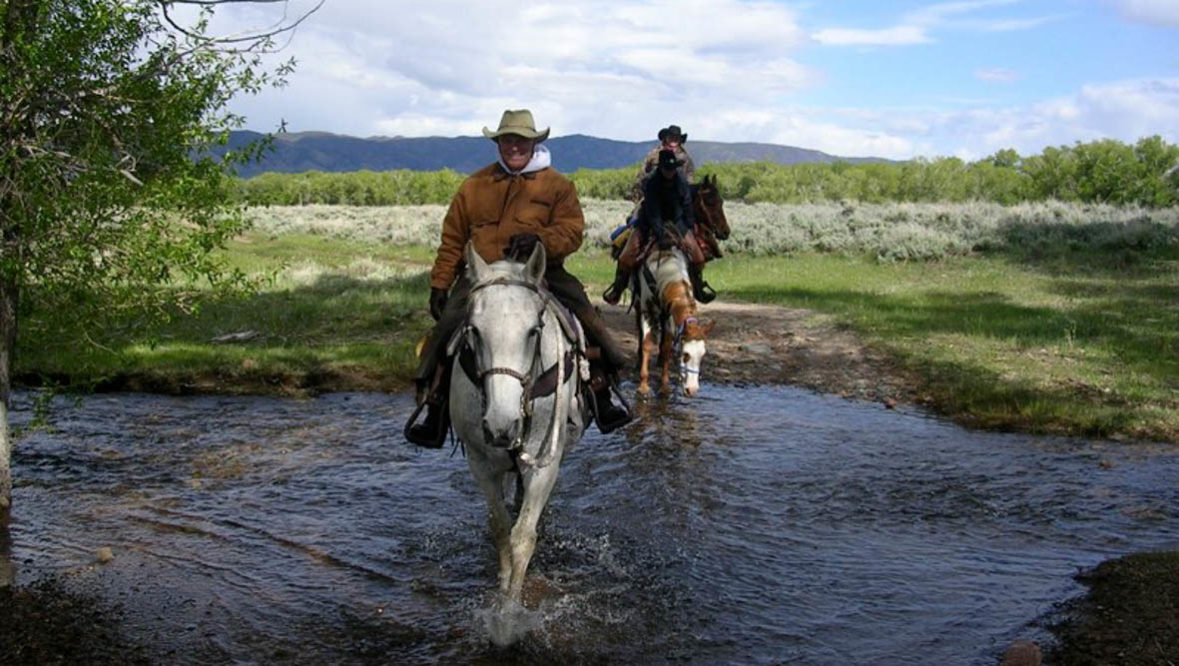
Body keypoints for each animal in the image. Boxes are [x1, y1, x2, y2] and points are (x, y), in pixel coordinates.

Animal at [447, 241, 588, 645]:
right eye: (474, 331)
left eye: (533, 331)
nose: (501, 425)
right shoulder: (481, 463)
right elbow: (500, 530)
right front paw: (499, 596)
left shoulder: (545, 463)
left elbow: (522, 536)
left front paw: (509, 618)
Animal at [634, 244, 715, 397]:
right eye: (686, 354)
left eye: (702, 355)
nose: (692, 390)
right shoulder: (647, 311)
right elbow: (647, 344)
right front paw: (643, 386)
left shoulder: (669, 316)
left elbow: (667, 348)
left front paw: (664, 387)